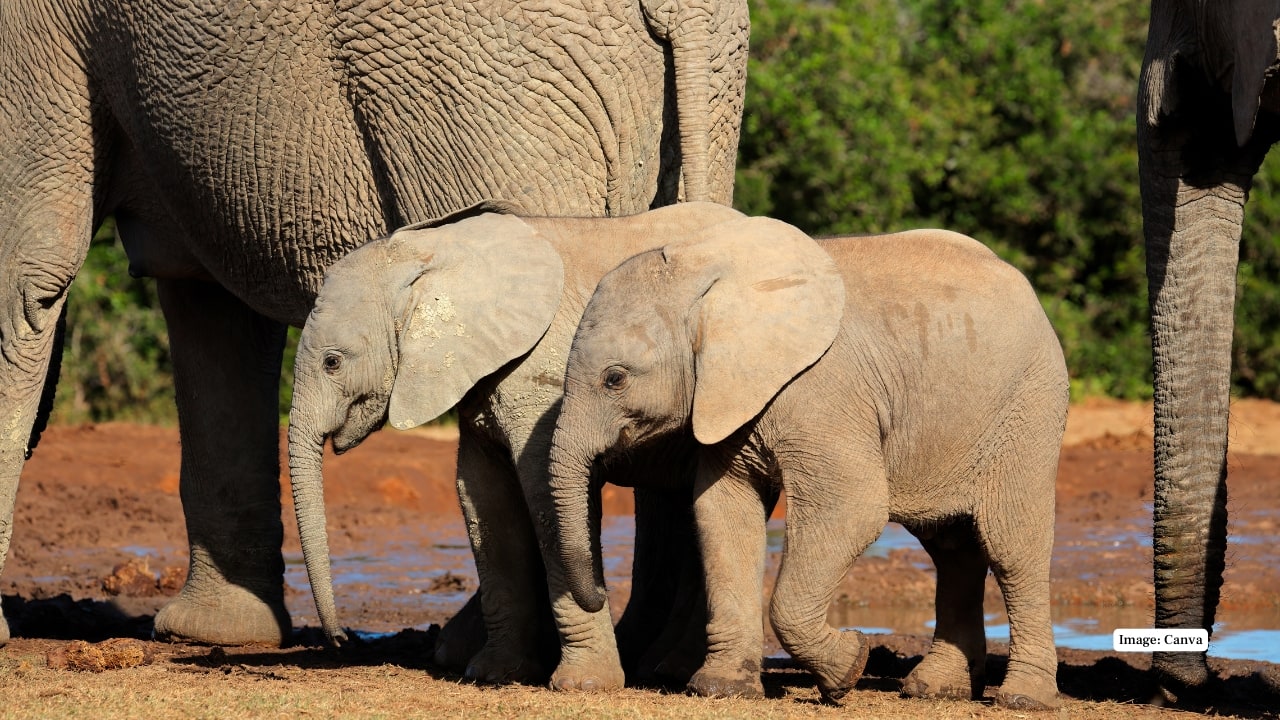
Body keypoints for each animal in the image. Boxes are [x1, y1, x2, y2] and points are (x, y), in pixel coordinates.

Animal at [287, 200, 747, 688]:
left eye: (332, 362)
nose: (342, 640)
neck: (433, 252)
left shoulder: (540, 373)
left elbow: (544, 497)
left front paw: (582, 684)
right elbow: (484, 501)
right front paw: (492, 673)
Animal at [547, 217, 1069, 709]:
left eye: (615, 379)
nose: (601, 596)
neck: (709, 274)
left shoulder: (823, 390)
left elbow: (853, 506)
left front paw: (849, 668)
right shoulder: (727, 394)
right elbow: (723, 510)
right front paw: (723, 689)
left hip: (1029, 404)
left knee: (1012, 546)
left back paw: (1023, 698)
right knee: (951, 546)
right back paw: (935, 689)